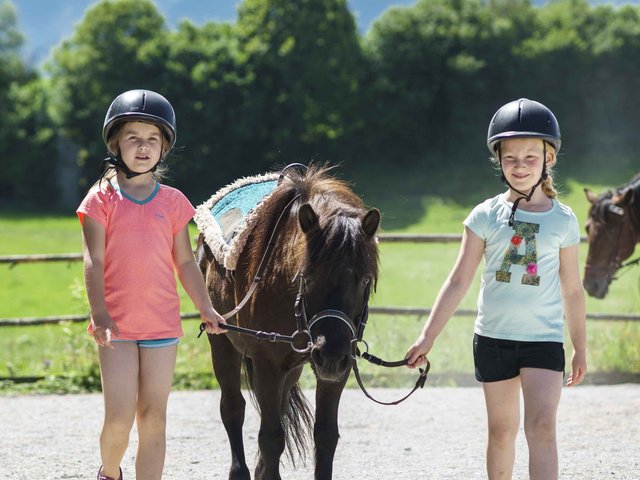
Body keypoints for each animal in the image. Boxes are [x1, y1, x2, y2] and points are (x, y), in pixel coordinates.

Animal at [196, 166, 380, 480]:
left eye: (365, 280)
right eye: (307, 277)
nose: (331, 354)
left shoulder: (337, 369)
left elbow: (325, 436)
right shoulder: (266, 363)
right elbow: (271, 437)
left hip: (293, 368)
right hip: (221, 342)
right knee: (233, 407)